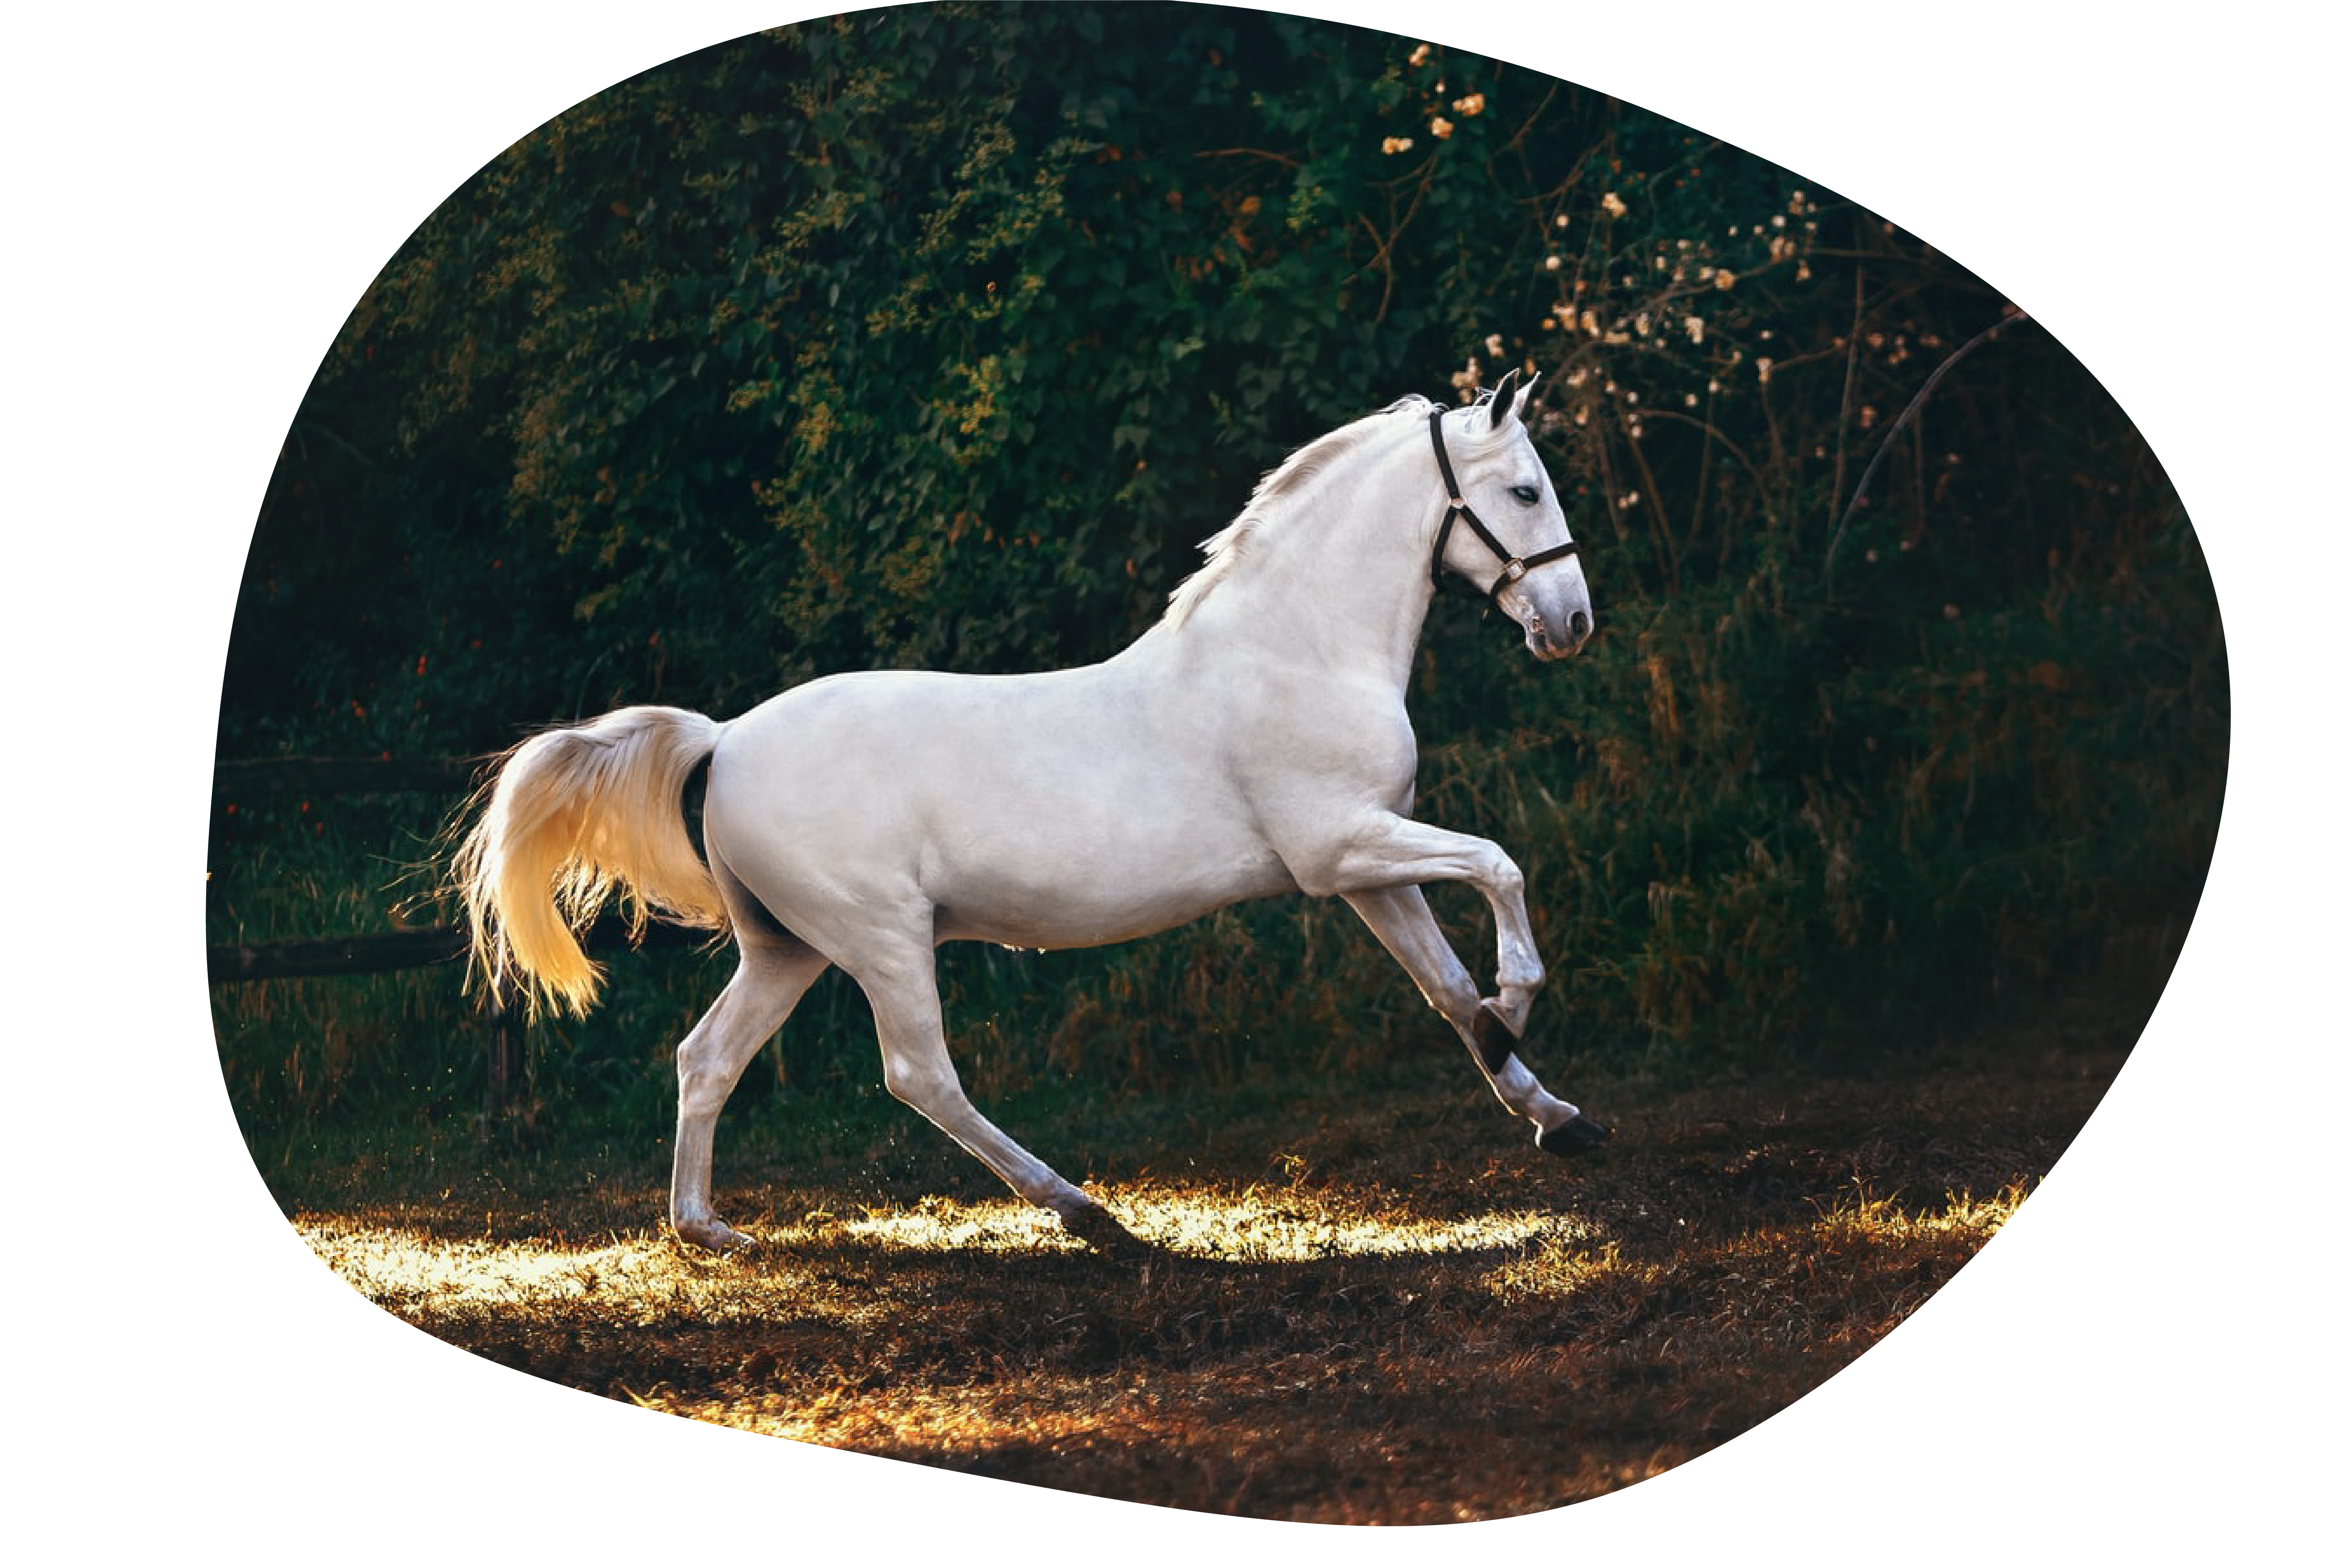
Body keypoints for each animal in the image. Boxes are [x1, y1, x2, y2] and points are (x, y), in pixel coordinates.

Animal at [452, 367, 1610, 1253]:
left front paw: (1552, 1112)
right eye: (1522, 490)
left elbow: (1445, 989)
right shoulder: (1341, 850)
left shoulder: (1368, 868)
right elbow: (1499, 868)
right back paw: (1084, 1211)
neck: (1297, 649)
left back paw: (707, 1229)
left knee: (707, 1058)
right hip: (880, 937)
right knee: (919, 1074)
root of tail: (726, 738)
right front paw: (1518, 1004)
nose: (1571, 624)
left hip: (787, 947)